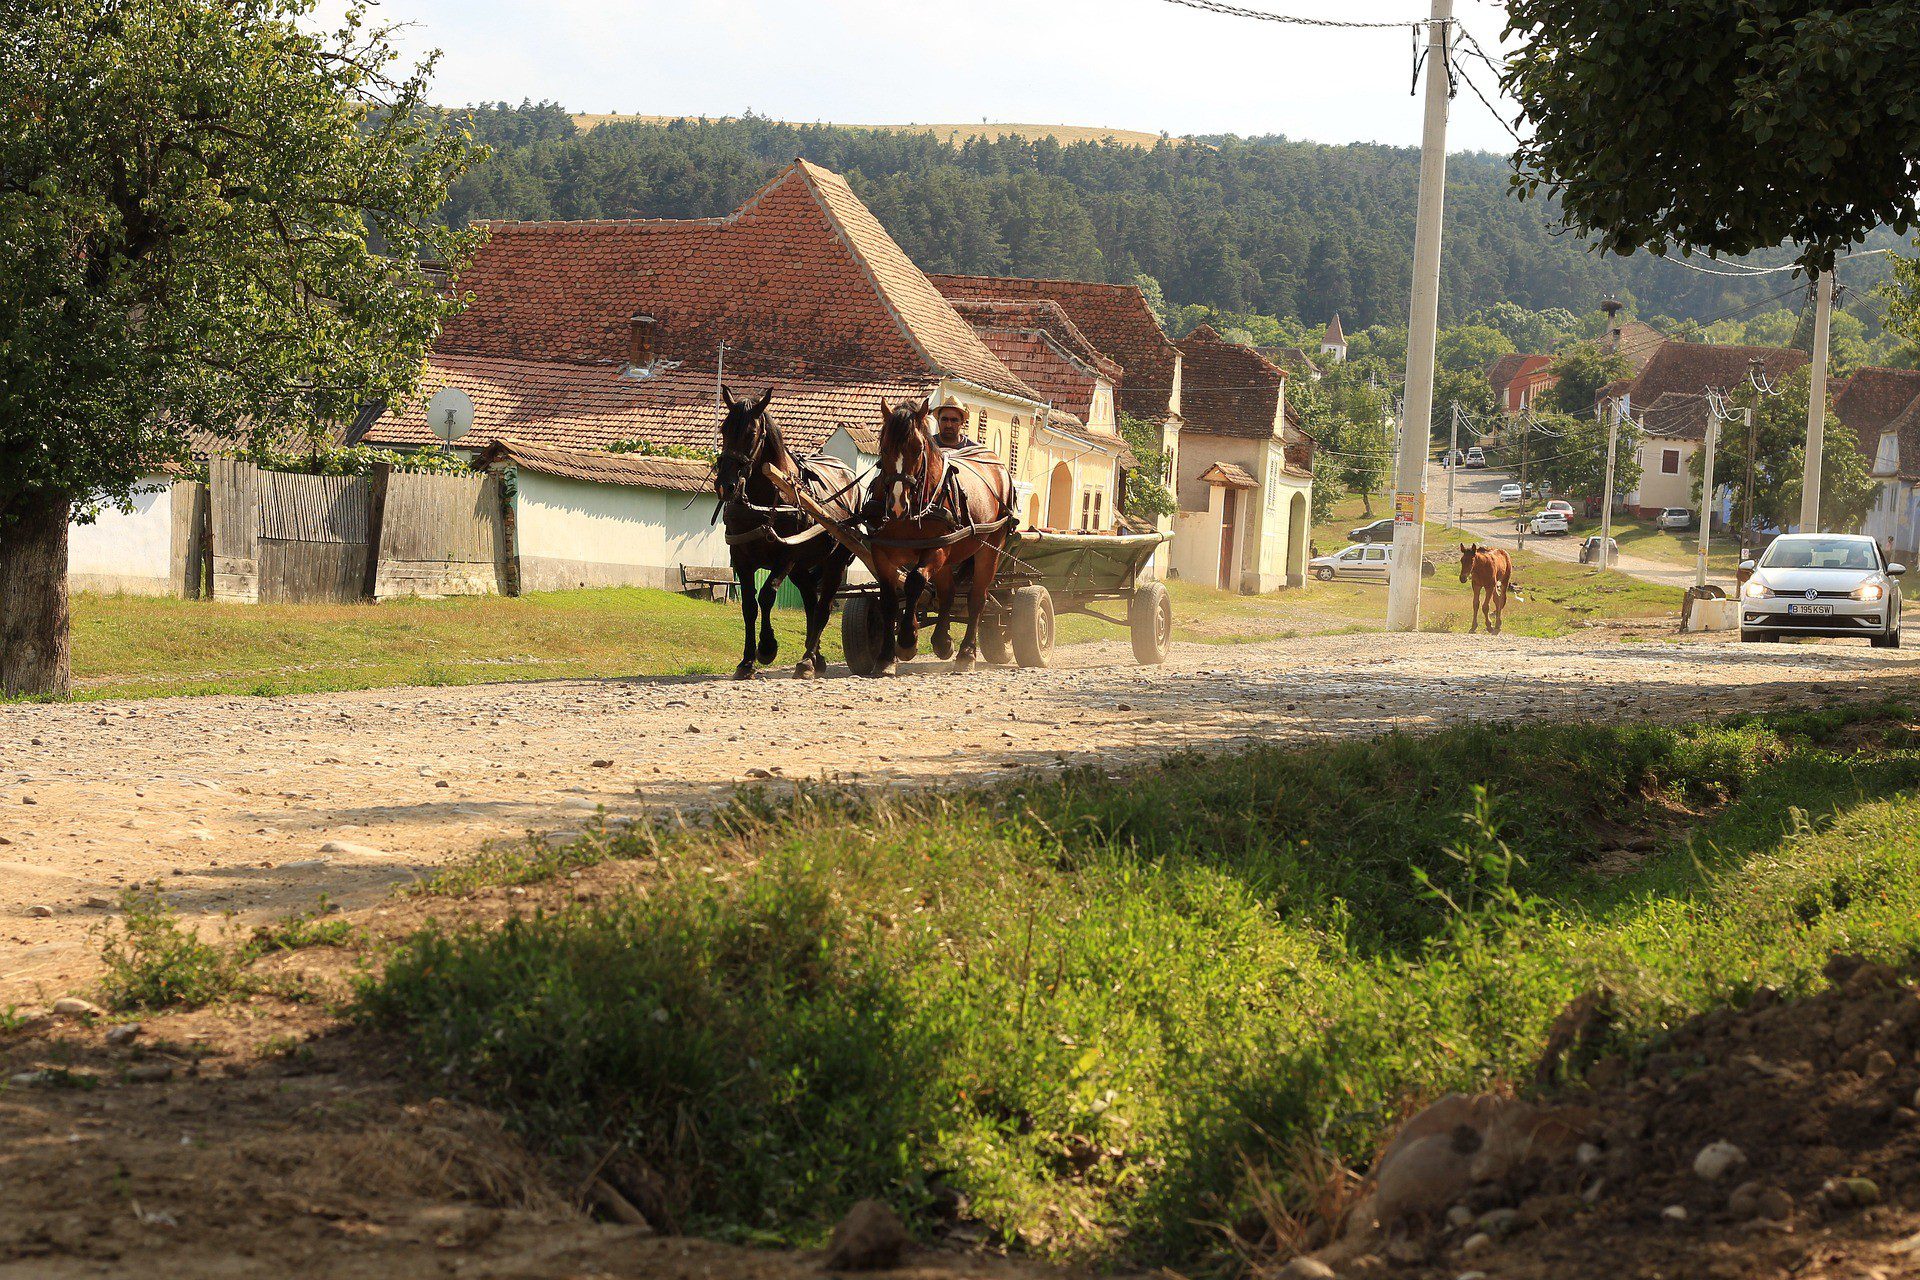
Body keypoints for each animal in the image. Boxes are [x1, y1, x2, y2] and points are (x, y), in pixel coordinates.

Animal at [714, 387, 856, 679]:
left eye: (751, 433)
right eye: (724, 429)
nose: (726, 485)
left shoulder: (786, 557)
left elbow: (767, 595)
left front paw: (767, 647)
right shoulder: (742, 558)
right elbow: (749, 605)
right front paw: (746, 661)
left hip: (834, 562)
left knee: (823, 607)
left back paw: (807, 661)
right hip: (802, 568)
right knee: (811, 602)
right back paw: (816, 657)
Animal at [871, 401, 1021, 679]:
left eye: (917, 449)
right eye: (884, 448)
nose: (897, 504)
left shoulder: (937, 549)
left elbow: (915, 581)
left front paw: (907, 641)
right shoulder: (881, 552)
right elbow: (888, 600)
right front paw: (886, 658)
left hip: (989, 548)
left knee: (977, 598)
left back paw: (966, 653)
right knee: (948, 593)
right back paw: (942, 641)